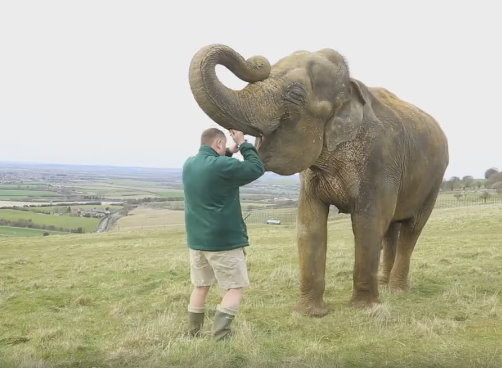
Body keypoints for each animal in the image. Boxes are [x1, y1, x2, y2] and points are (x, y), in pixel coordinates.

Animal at [190, 44, 450, 316]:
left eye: (296, 94)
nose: (258, 61)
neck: (349, 88)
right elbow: (309, 224)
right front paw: (310, 313)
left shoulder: (380, 160)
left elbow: (368, 222)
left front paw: (364, 309)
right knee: (391, 228)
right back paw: (385, 284)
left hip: (434, 181)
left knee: (411, 228)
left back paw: (397, 290)